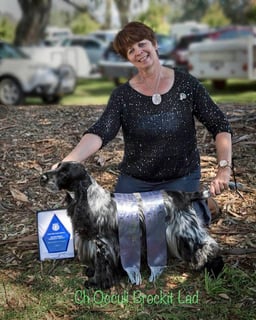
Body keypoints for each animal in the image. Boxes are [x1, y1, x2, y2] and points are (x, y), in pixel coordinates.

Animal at [39, 161, 222, 288]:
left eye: (64, 173)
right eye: (57, 166)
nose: (42, 177)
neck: (87, 199)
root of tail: (185, 195)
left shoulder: (102, 242)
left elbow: (101, 264)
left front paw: (97, 283)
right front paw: (91, 273)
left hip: (184, 229)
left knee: (208, 247)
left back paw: (214, 270)